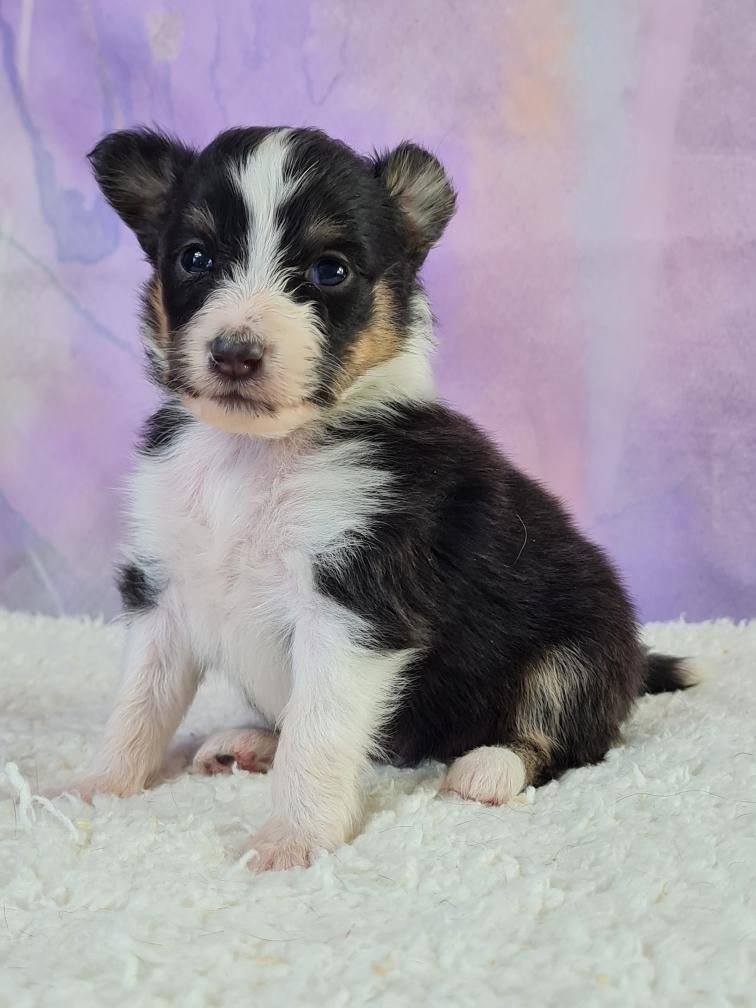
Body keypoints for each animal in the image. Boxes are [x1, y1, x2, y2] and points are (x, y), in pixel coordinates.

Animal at [53, 130, 693, 874]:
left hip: (581, 650)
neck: (252, 454)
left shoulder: (352, 604)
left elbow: (319, 732)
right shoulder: (163, 590)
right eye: (195, 258)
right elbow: (138, 704)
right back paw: (250, 741)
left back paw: (489, 768)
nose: (235, 352)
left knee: (565, 735)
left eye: (330, 271)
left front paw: (293, 838)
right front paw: (97, 785)